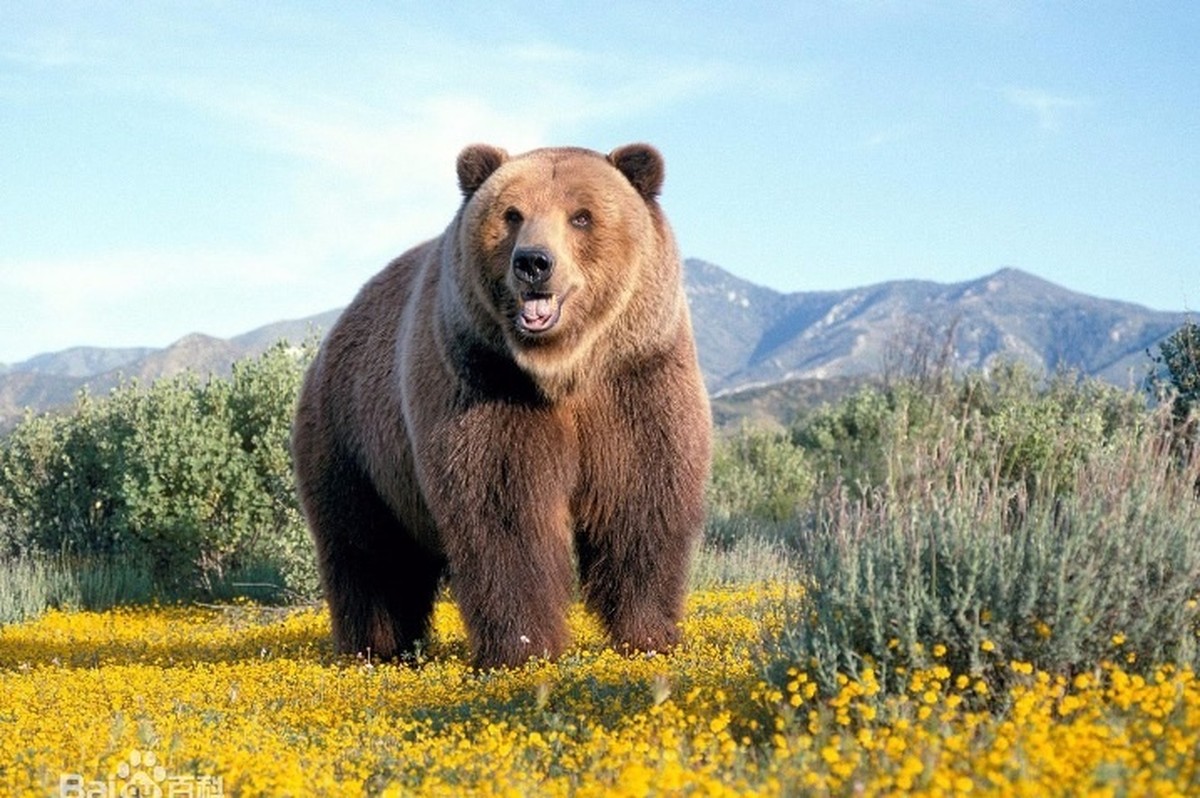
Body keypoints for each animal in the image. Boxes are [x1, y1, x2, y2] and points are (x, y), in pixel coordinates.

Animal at [291, 143, 711, 669]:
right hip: (354, 441)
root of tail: (332, 336)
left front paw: (649, 636)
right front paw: (523, 648)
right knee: (368, 551)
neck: (563, 370)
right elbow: (505, 514)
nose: (533, 262)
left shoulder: (636, 380)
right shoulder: (486, 385)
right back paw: (375, 648)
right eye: (512, 214)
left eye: (581, 216)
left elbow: (641, 501)